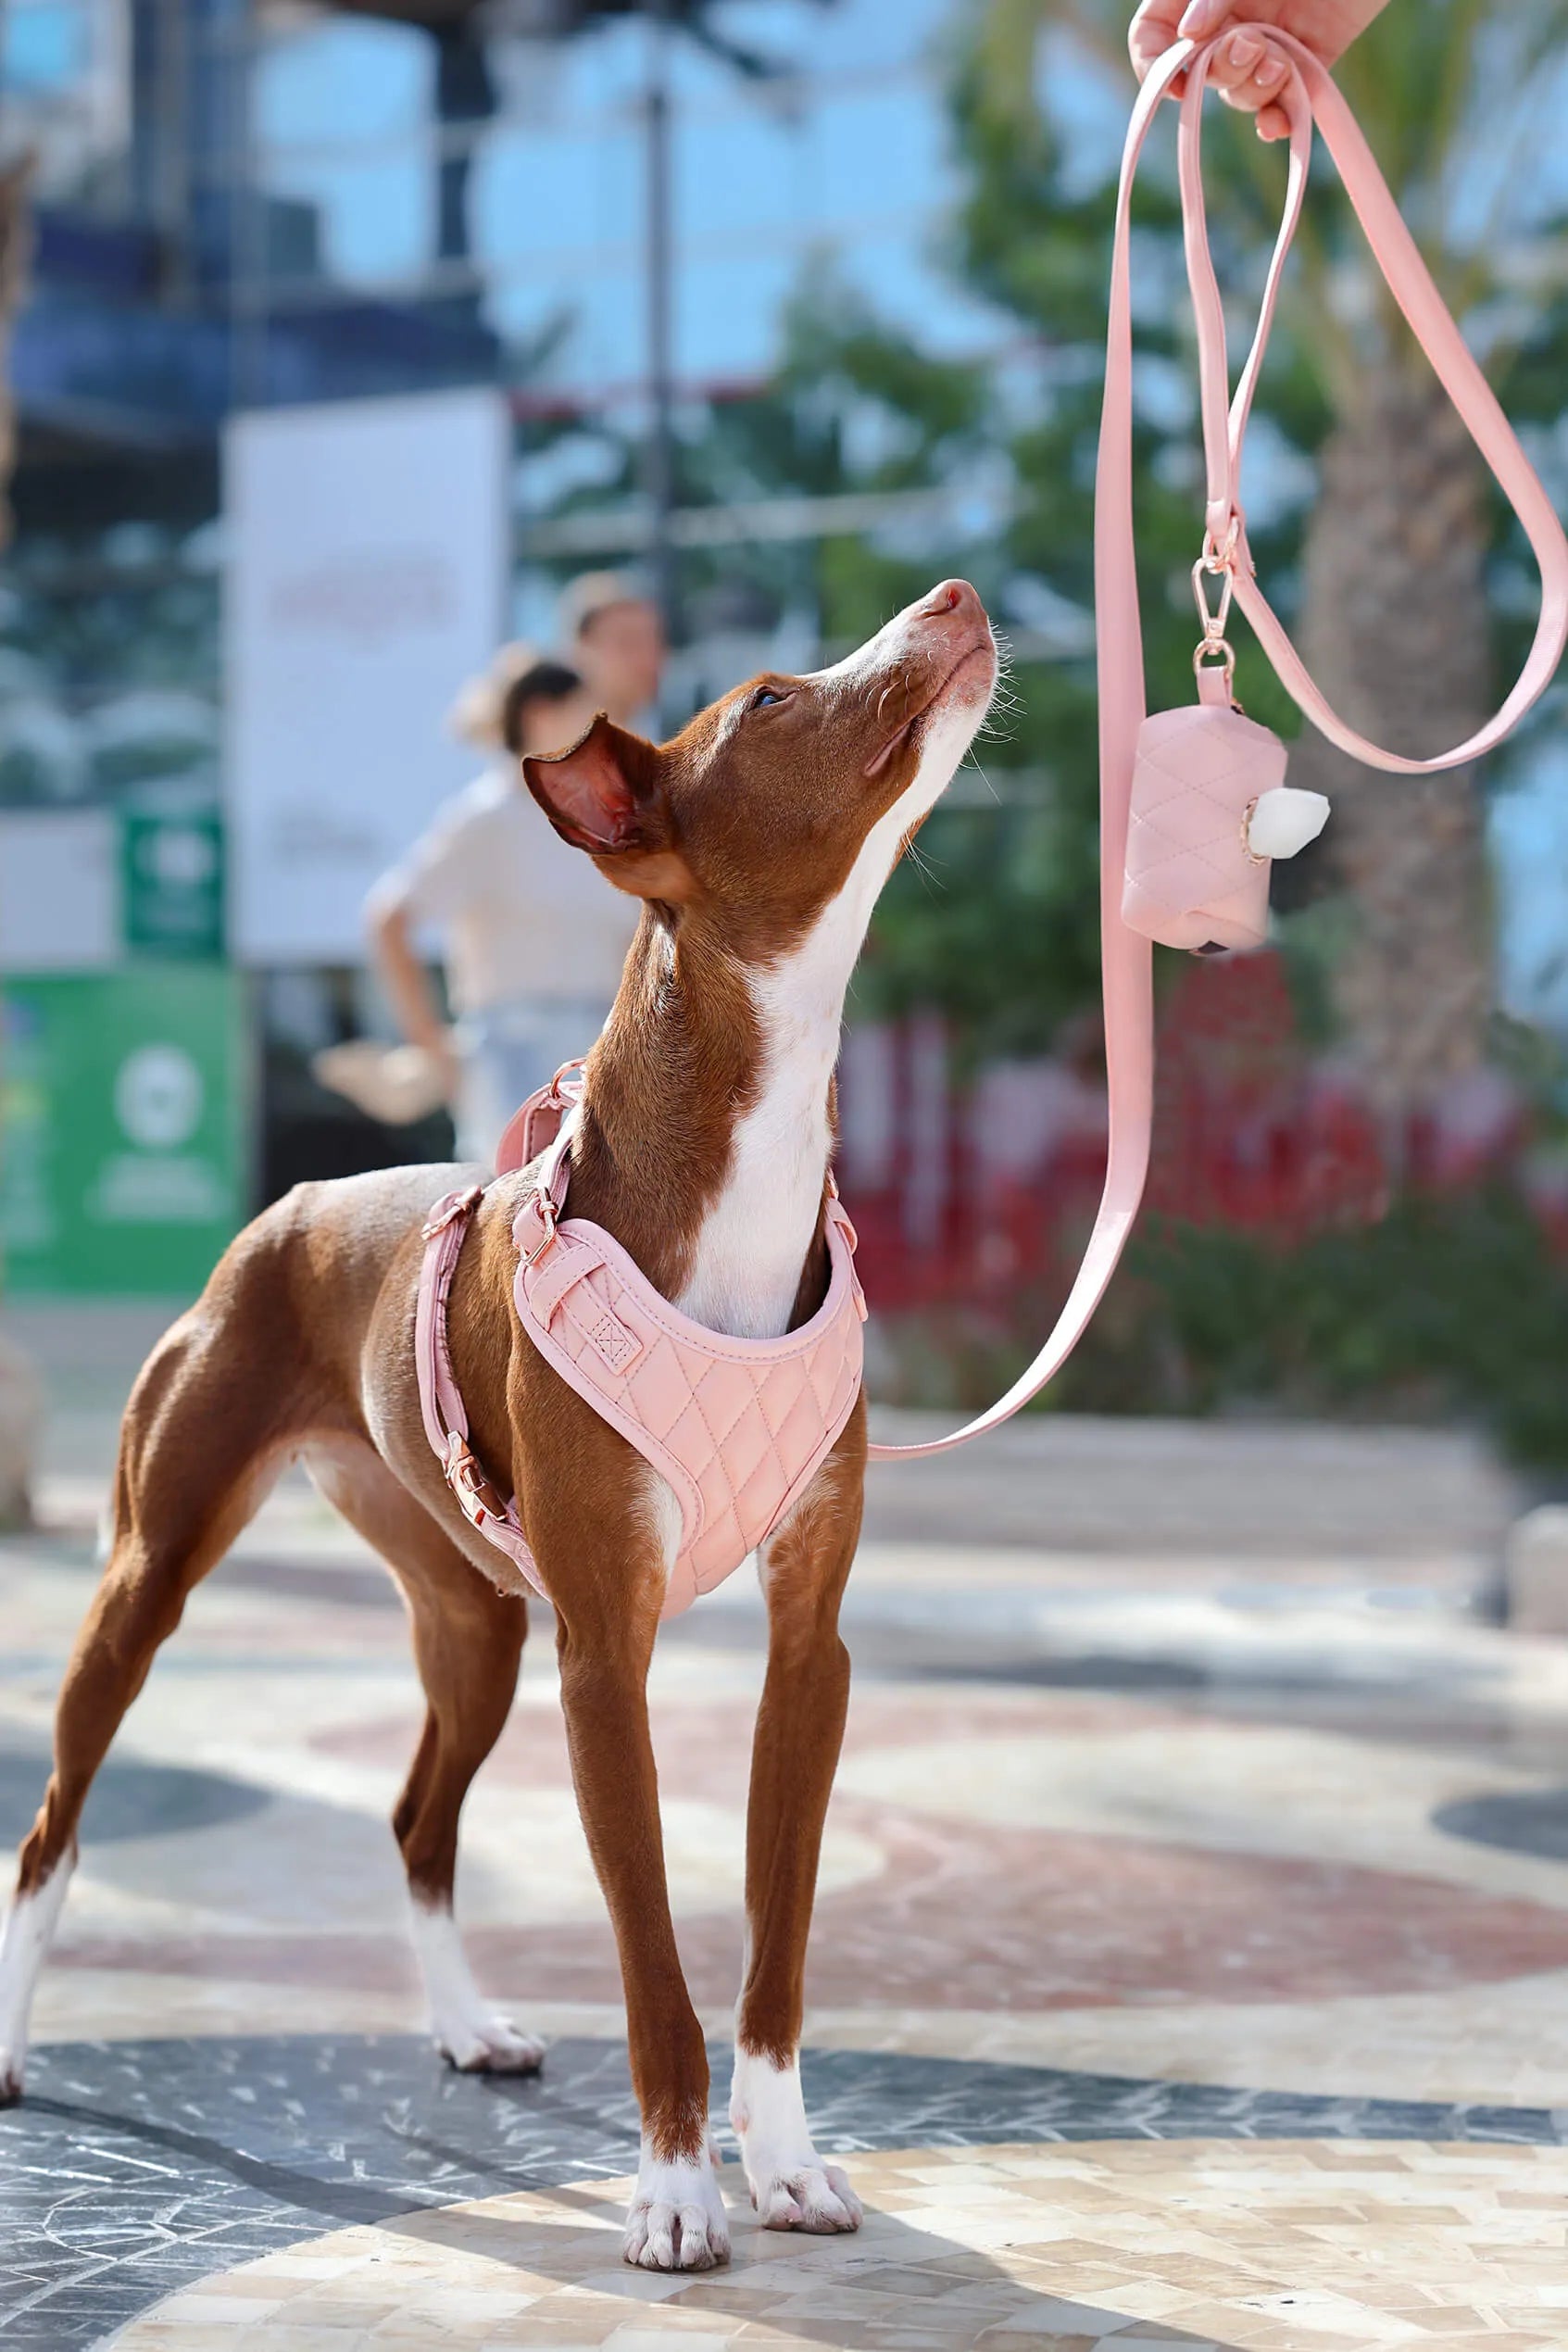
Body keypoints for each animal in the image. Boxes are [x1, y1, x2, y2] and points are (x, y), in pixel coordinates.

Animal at [0, 578, 1001, 2267]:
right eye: (769, 699)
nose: (953, 593)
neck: (744, 1167)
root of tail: (290, 1204)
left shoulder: (809, 1651)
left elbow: (776, 1948)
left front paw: (783, 2160)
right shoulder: (607, 1653)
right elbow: (655, 1954)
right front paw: (674, 2189)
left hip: (473, 1621)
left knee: (415, 1819)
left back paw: (466, 2024)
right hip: (147, 1578)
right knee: (54, 1824)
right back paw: (10, 2040)